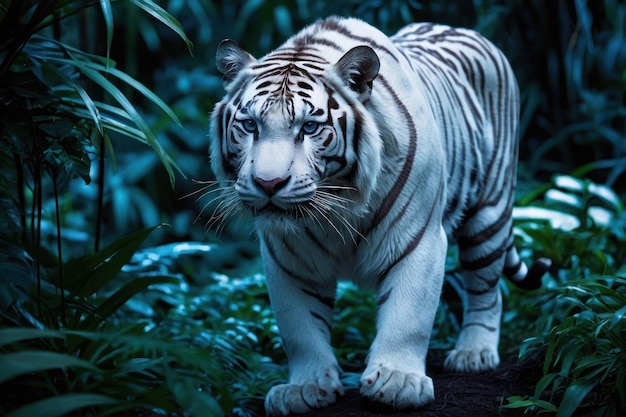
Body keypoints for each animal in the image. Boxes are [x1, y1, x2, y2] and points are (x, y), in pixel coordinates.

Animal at [206, 16, 544, 416]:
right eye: (250, 125)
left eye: (309, 127)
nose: (268, 183)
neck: (336, 204)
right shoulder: (288, 258)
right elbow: (299, 327)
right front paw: (305, 387)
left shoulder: (419, 239)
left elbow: (408, 315)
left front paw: (398, 382)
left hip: (489, 211)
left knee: (486, 287)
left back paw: (474, 352)